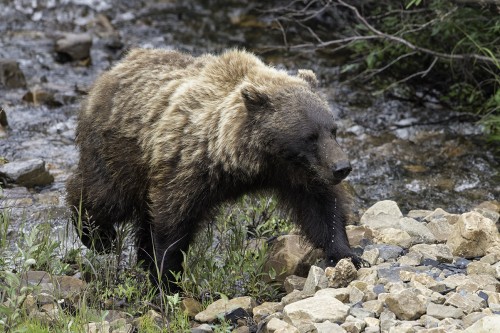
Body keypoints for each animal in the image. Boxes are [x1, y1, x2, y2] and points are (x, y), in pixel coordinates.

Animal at [66, 48, 364, 286]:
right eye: (310, 136)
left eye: (332, 130)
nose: (342, 167)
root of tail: (114, 70)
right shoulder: (188, 168)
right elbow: (172, 222)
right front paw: (166, 278)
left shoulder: (298, 173)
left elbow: (321, 209)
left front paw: (348, 254)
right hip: (122, 152)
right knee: (105, 195)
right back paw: (98, 237)